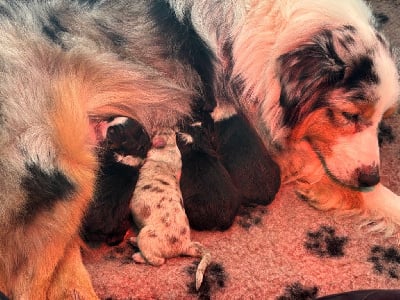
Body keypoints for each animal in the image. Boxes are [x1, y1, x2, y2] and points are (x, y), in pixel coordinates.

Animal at [130, 128, 212, 290]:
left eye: (158, 131)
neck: (169, 149)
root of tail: (186, 245)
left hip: (147, 235)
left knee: (158, 261)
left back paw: (136, 254)